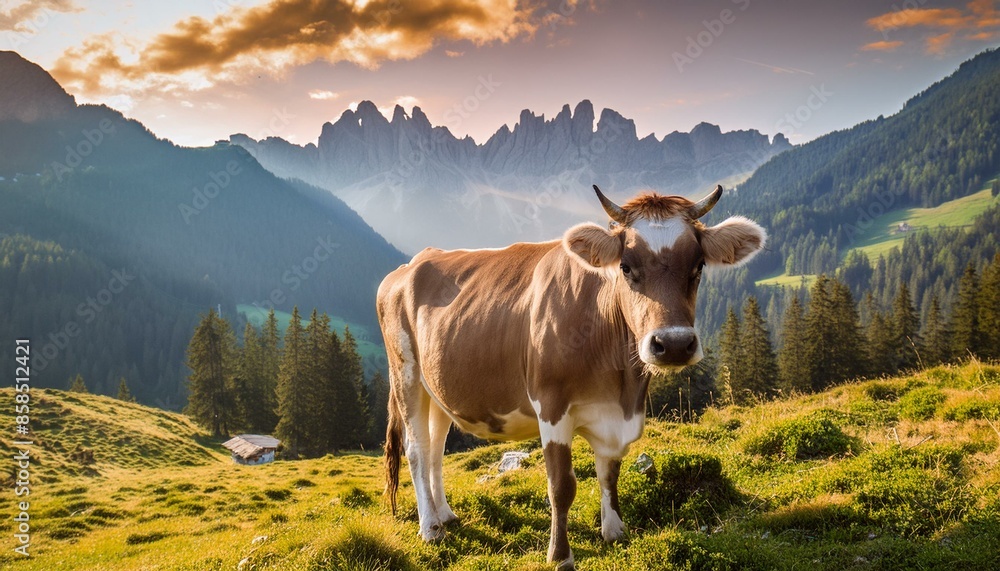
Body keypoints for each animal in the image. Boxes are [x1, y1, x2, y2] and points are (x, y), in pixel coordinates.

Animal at [378, 185, 766, 570]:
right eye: (626, 267)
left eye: (698, 265)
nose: (672, 344)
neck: (621, 385)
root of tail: (409, 266)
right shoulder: (551, 404)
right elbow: (561, 486)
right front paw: (561, 555)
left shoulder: (617, 415)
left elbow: (609, 472)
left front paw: (615, 531)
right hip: (406, 374)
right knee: (416, 449)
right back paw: (430, 528)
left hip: (439, 388)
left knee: (435, 448)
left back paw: (444, 514)